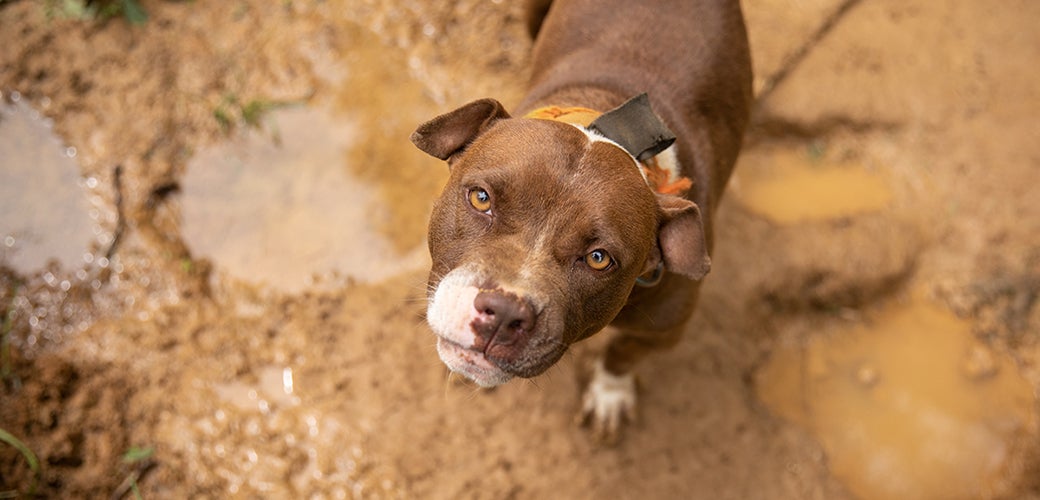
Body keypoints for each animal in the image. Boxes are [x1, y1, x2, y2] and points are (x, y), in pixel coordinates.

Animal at [411, 0, 752, 442]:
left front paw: (609, 396)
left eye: (598, 258)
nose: (503, 312)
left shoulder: (665, 329)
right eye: (480, 198)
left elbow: (622, 354)